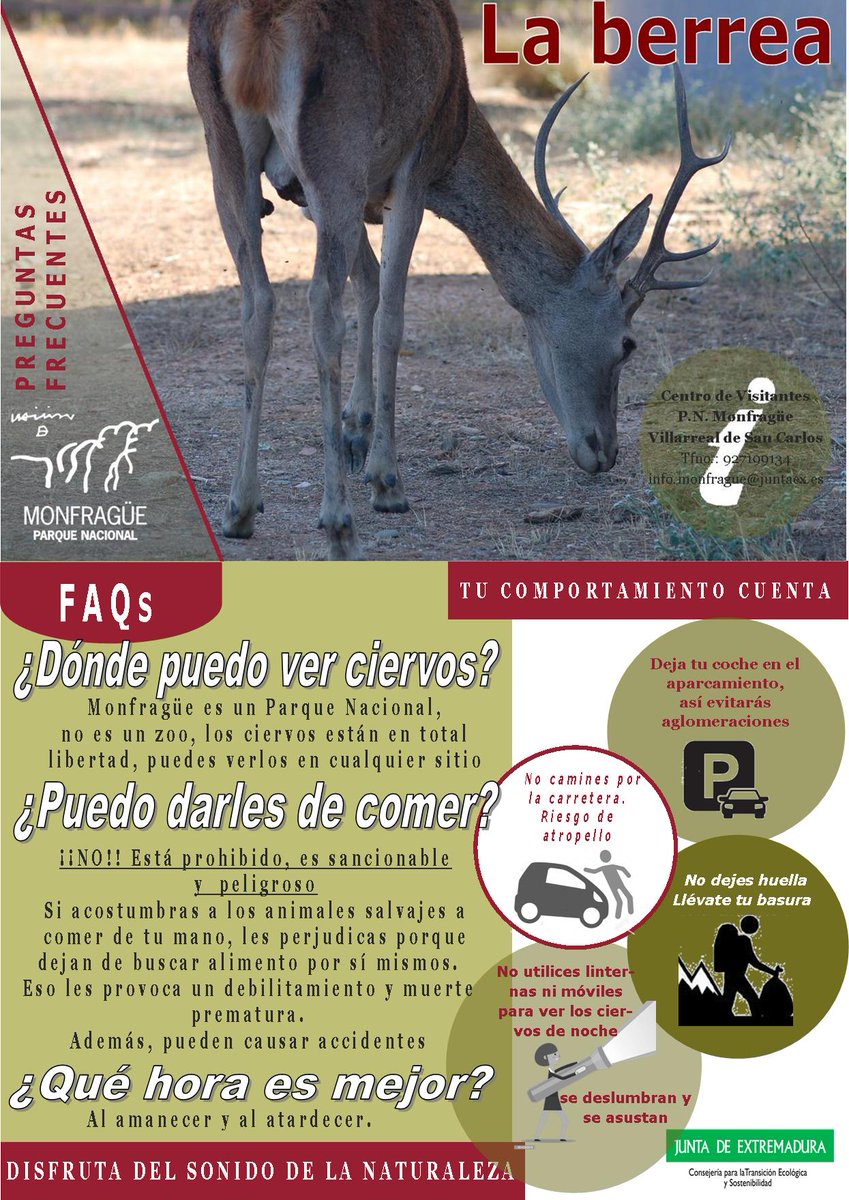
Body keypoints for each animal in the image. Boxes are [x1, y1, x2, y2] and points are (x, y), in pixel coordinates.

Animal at [187, 0, 730, 559]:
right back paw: (340, 521)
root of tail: (260, 21)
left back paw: (240, 507)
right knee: (320, 306)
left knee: (259, 301)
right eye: (628, 343)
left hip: (223, 149)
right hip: (336, 150)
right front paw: (384, 479)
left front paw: (356, 431)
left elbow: (369, 279)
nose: (607, 452)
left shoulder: (306, 192)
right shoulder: (414, 169)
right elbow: (392, 312)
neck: (458, 127)